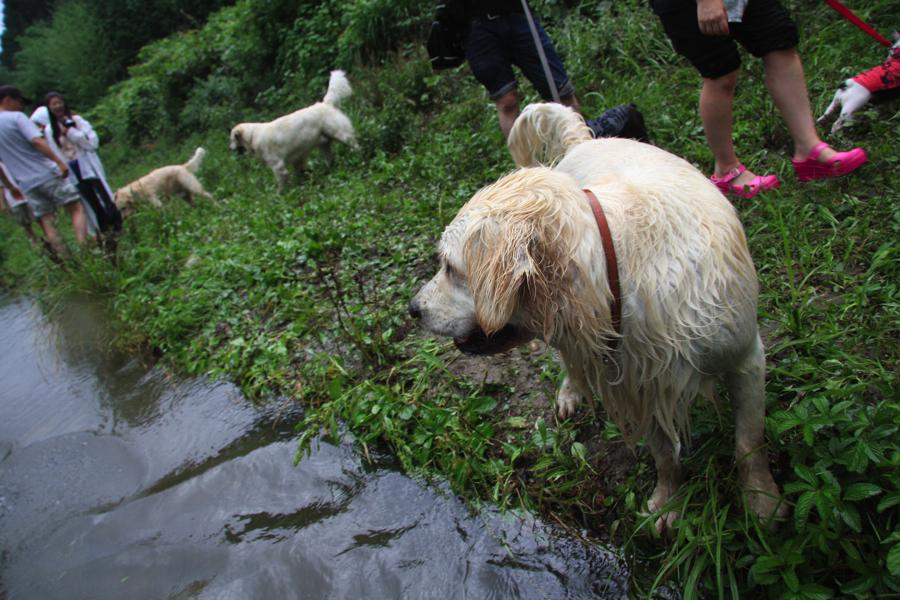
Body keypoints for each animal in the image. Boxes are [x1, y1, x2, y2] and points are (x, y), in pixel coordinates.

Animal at [412, 104, 784, 536]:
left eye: (450, 267)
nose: (413, 308)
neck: (617, 269)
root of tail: (584, 140)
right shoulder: (638, 380)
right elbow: (665, 454)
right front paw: (668, 502)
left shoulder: (745, 357)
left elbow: (748, 442)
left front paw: (762, 501)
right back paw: (571, 392)